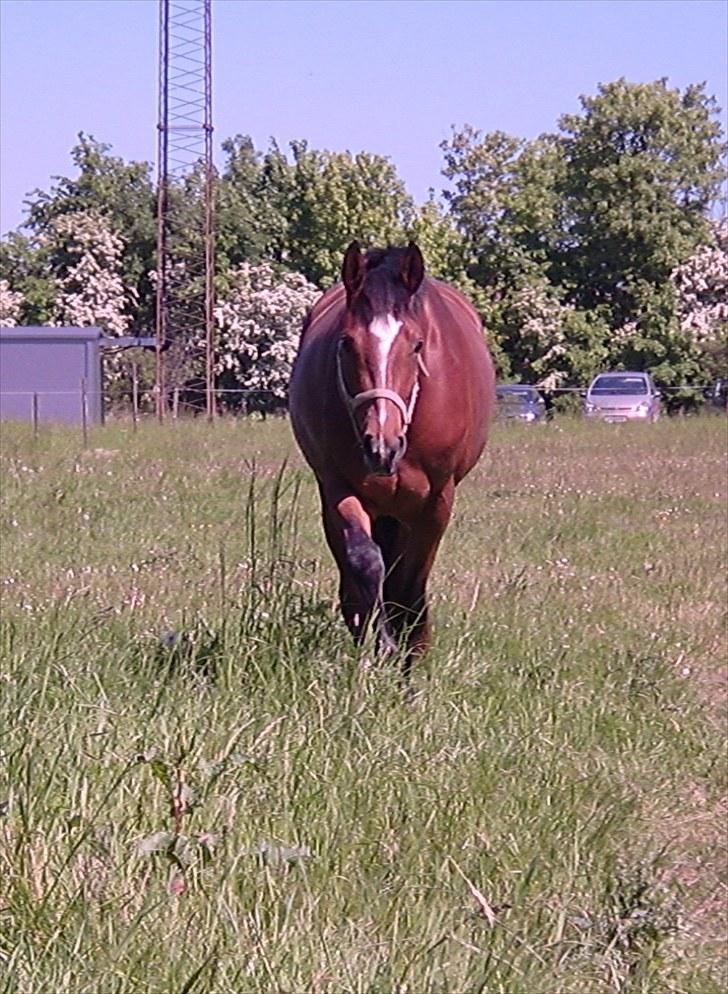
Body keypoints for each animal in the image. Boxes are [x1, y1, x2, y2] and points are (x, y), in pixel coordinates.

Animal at [288, 241, 498, 676]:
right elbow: (366, 565)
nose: (380, 445)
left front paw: (409, 666)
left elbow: (409, 587)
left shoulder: (436, 502)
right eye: (346, 342)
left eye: (416, 345)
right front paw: (382, 647)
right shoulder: (338, 488)